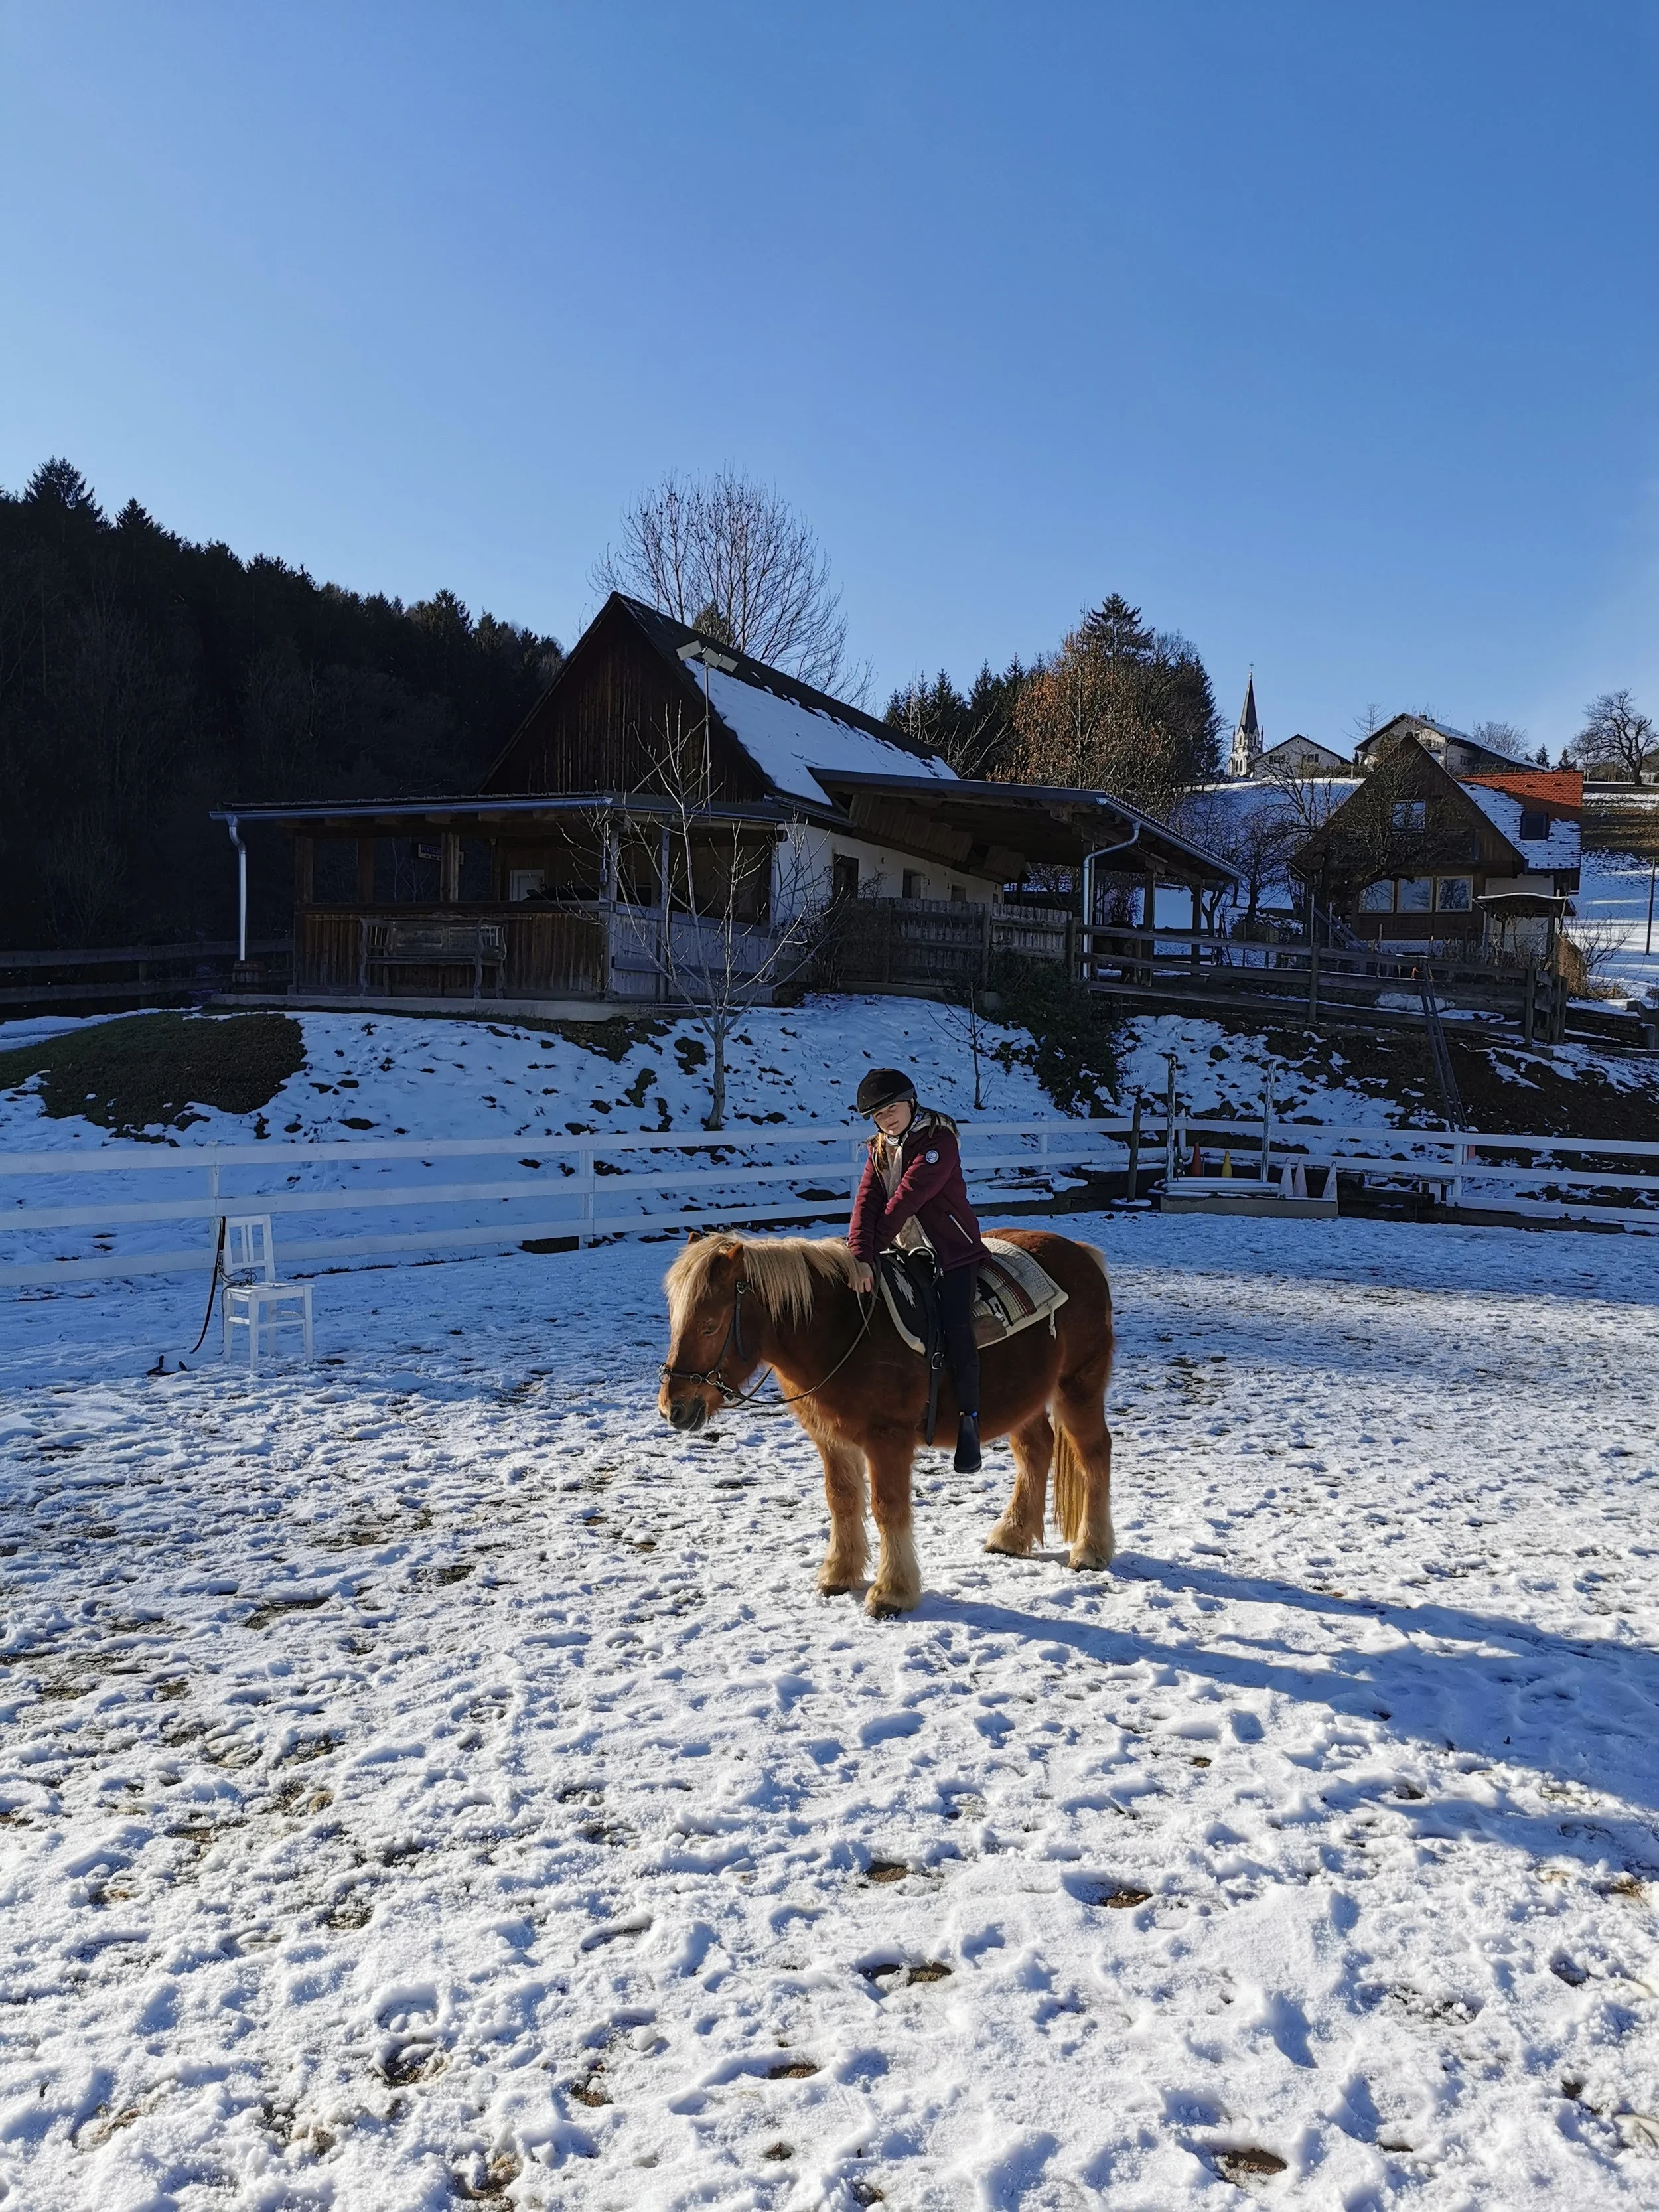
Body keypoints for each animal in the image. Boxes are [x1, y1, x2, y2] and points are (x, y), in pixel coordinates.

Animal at [658, 1227, 1116, 1617]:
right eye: (676, 1321)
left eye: (710, 1326)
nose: (672, 1408)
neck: (840, 1330)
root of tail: (1082, 1253)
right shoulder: (831, 1439)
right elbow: (842, 1499)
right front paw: (839, 1574)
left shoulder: (887, 1439)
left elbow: (887, 1508)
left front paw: (891, 1592)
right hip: (1024, 1399)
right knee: (1036, 1450)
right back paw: (1013, 1536)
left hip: (1078, 1388)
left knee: (1094, 1453)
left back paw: (1091, 1550)